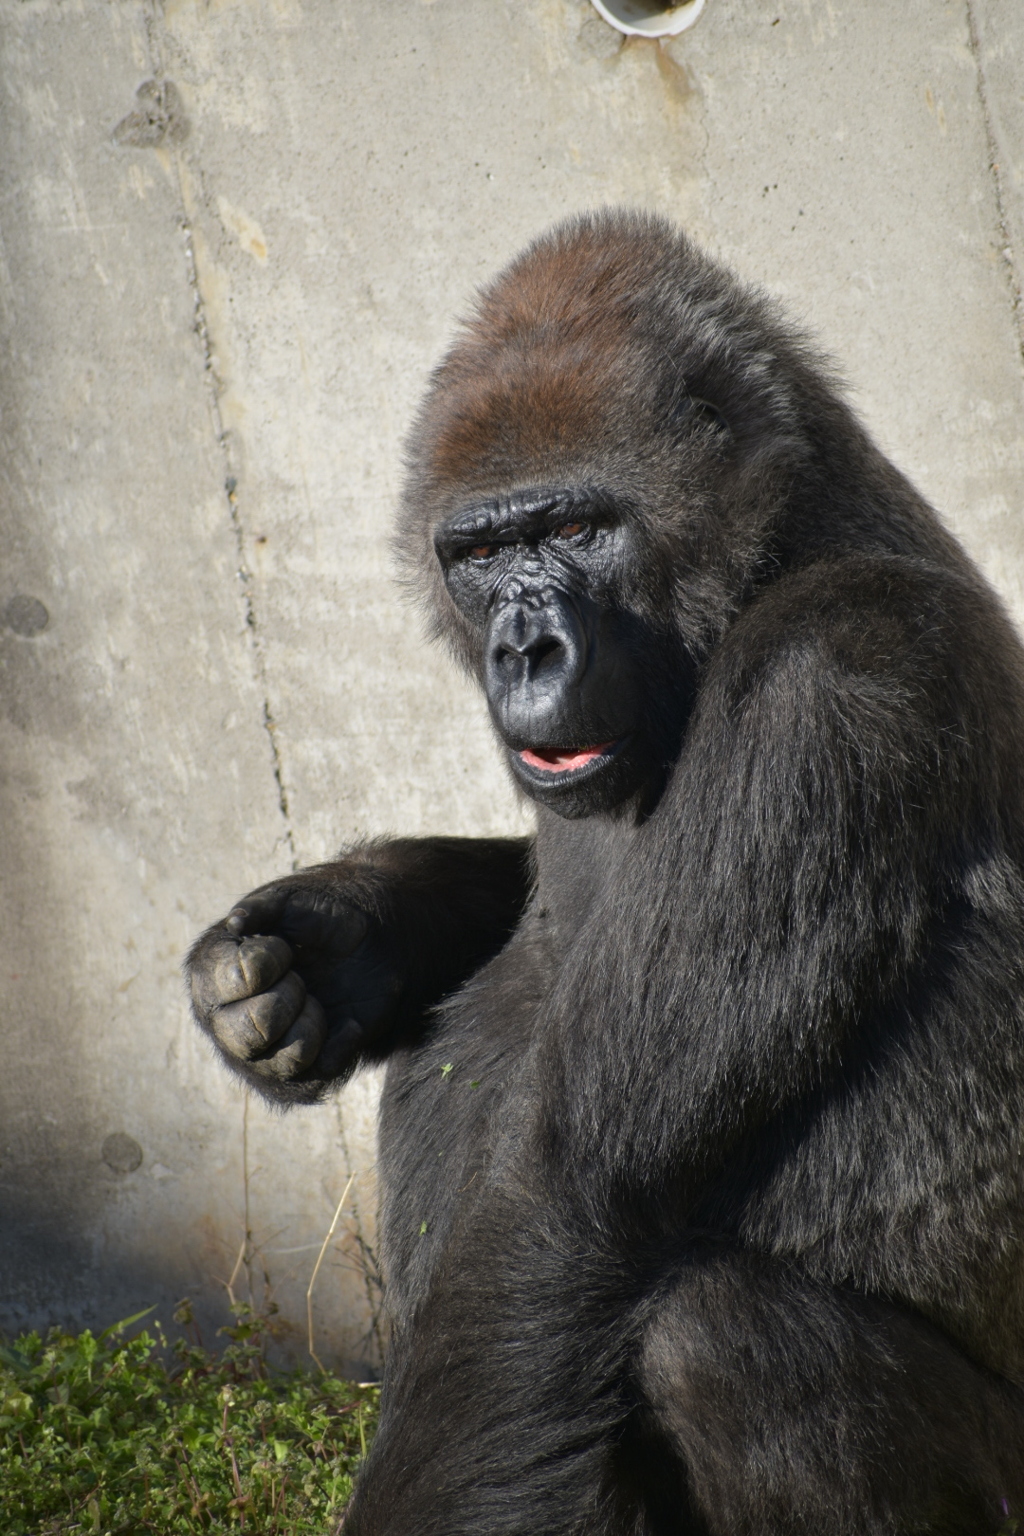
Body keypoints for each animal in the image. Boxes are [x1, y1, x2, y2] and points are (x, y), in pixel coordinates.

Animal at [188, 210, 1024, 1529]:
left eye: (579, 532)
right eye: (483, 553)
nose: (524, 650)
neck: (782, 542)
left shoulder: (838, 675)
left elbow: (562, 1201)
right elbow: (516, 906)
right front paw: (314, 949)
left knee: (714, 1339)